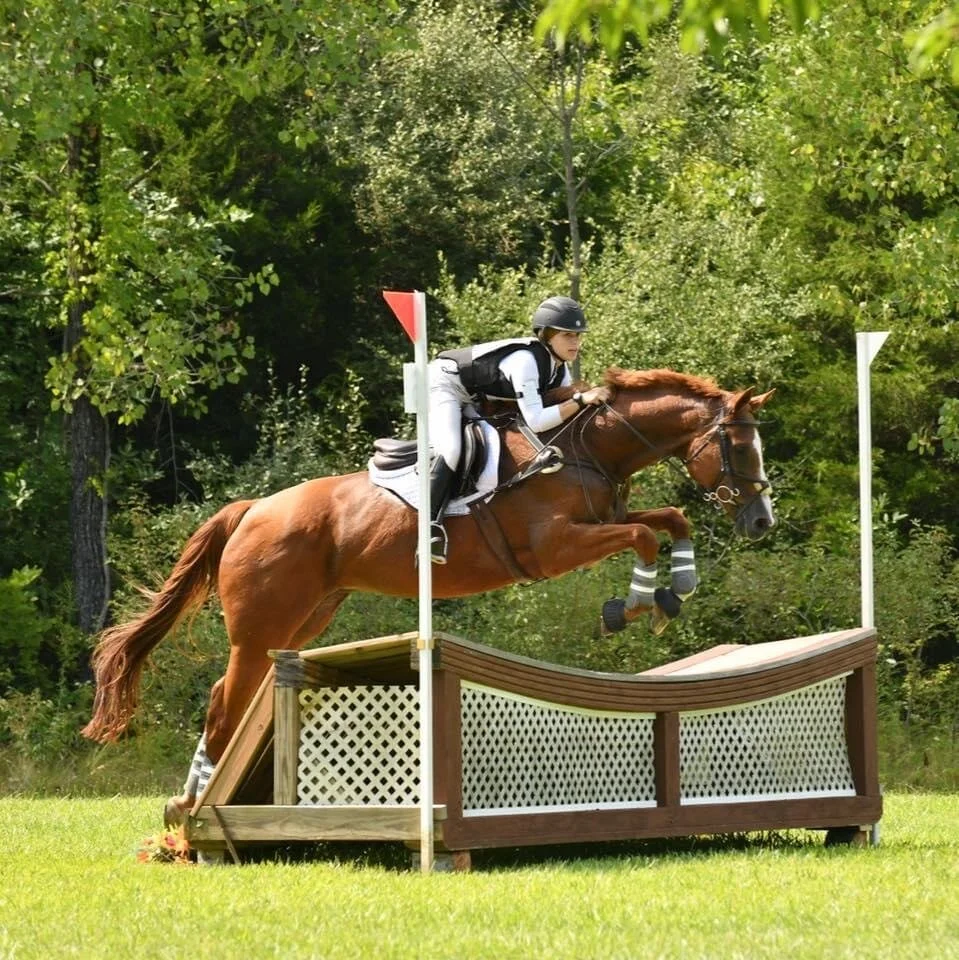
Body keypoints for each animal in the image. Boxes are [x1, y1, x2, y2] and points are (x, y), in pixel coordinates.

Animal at [80, 366, 775, 823]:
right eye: (740, 447)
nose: (762, 521)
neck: (582, 449)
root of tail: (254, 509)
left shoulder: (602, 523)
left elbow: (668, 522)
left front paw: (677, 587)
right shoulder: (553, 549)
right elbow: (643, 535)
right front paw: (631, 606)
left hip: (303, 622)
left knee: (229, 696)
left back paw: (191, 802)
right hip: (260, 631)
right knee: (226, 704)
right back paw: (195, 811)